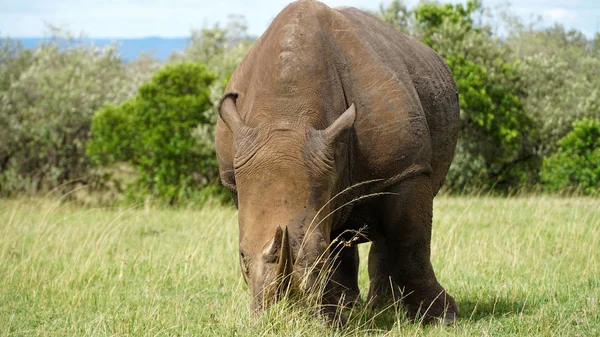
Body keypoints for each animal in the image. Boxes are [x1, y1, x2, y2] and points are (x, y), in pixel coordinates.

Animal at [214, 0, 460, 324]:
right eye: (241, 256)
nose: (285, 315)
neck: (287, 114)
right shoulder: (237, 180)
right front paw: (331, 317)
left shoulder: (408, 169)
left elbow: (411, 244)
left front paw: (442, 317)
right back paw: (353, 308)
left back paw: (384, 308)